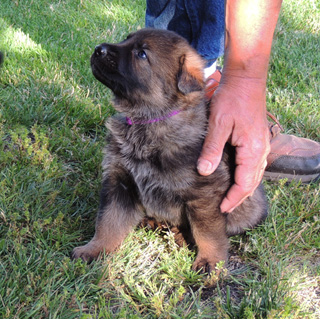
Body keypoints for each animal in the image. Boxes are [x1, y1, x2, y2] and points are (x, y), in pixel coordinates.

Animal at [72, 29, 268, 272]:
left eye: (142, 54)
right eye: (126, 39)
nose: (98, 49)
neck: (149, 121)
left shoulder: (204, 196)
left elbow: (208, 233)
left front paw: (210, 261)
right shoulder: (120, 182)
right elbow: (108, 222)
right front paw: (94, 249)